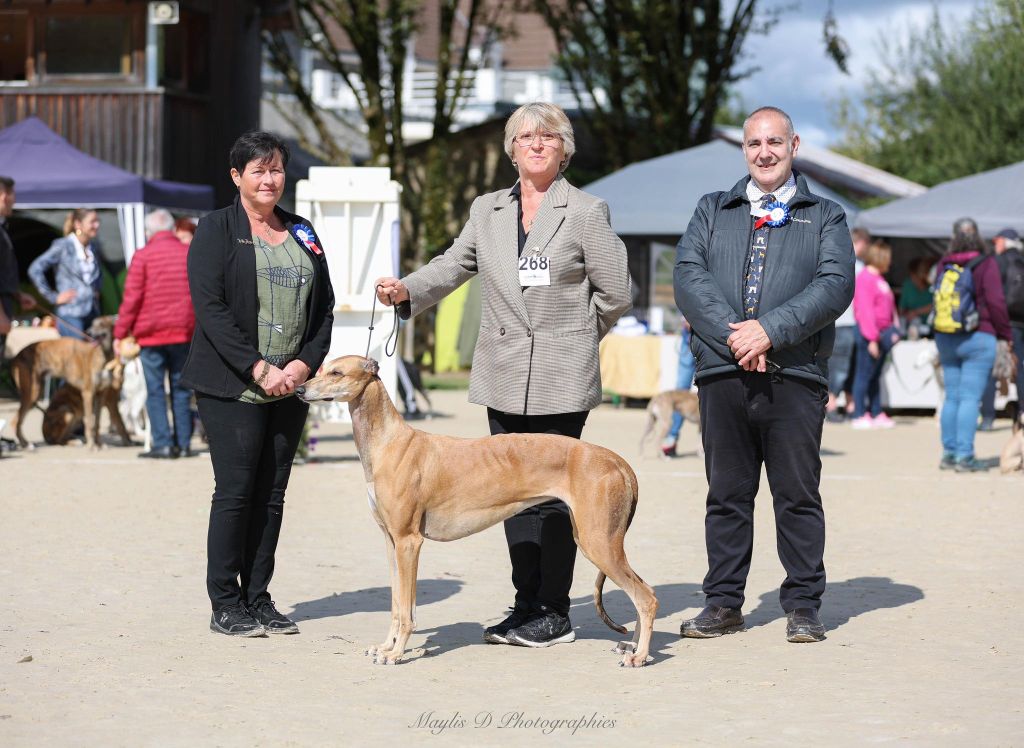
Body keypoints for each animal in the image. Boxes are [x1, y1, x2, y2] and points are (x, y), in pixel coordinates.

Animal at [299, 354, 659, 663]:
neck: (389, 442)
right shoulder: (391, 541)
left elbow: (407, 610)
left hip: (597, 541)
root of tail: (617, 460)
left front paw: (396, 654)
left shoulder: (409, 541)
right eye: (322, 367)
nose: (300, 389)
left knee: (646, 596)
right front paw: (385, 647)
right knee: (644, 591)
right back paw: (633, 648)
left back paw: (639, 656)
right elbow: (397, 604)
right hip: (601, 539)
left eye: (336, 373)